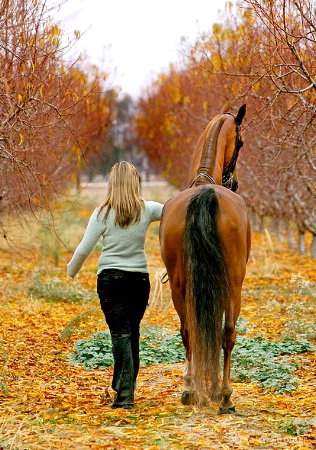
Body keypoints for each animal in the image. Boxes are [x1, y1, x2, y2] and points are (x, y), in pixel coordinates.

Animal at [160, 103, 252, 414]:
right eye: (241, 142)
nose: (234, 181)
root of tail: (207, 193)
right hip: (232, 285)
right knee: (226, 333)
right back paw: (222, 395)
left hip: (182, 287)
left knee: (190, 330)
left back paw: (195, 389)